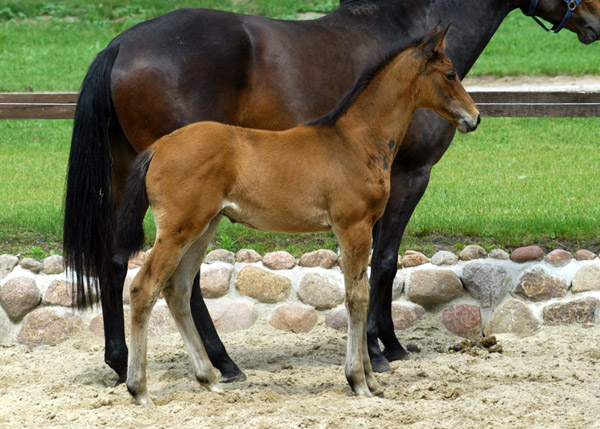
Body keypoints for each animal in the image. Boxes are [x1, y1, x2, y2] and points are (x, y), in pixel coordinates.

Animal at [117, 26, 480, 404]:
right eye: (450, 74)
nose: (475, 117)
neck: (356, 142)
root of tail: (157, 148)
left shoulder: (359, 228)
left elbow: (360, 292)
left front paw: (372, 379)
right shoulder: (353, 226)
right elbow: (357, 298)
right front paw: (358, 380)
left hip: (204, 228)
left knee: (178, 290)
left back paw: (210, 379)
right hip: (179, 229)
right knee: (144, 288)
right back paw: (140, 389)